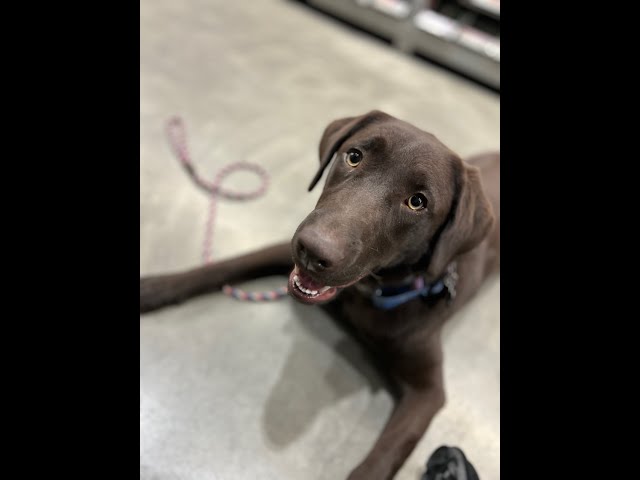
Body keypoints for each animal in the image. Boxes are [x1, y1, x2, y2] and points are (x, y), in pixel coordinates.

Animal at [140, 110, 500, 480]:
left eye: (417, 202)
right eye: (354, 156)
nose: (314, 251)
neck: (368, 291)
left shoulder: (428, 392)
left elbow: (383, 457)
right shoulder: (283, 251)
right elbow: (228, 264)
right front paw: (154, 287)